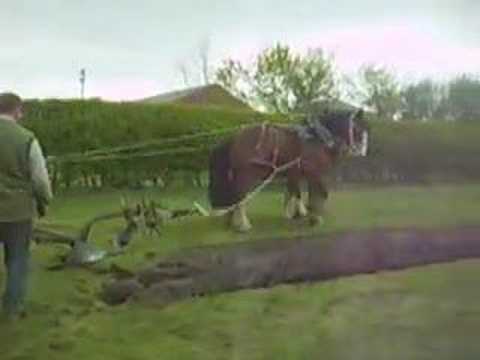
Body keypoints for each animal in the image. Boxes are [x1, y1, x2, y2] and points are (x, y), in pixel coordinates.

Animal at [208, 109, 370, 232]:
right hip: (247, 173)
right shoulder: (313, 172)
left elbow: (294, 192)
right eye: (357, 128)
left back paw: (233, 222)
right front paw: (313, 218)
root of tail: (235, 137)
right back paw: (244, 225)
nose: (361, 151)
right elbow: (318, 193)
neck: (318, 138)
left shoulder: (296, 172)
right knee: (241, 196)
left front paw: (296, 214)